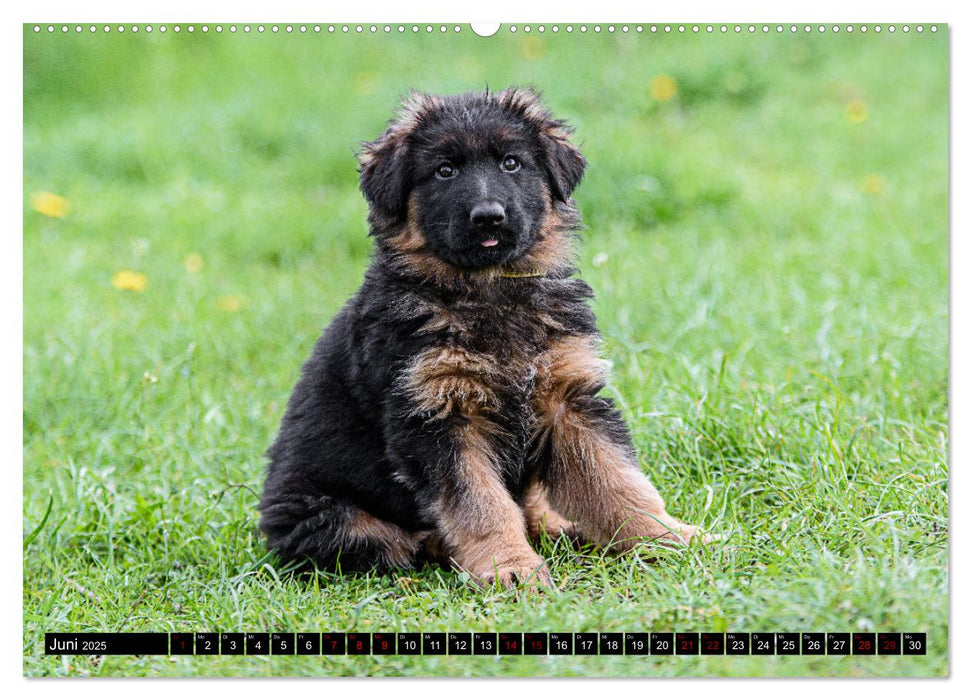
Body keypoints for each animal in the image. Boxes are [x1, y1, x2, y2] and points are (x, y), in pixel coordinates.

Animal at [258, 90, 704, 588]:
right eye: (444, 171)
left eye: (511, 163)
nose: (489, 217)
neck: (487, 290)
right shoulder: (439, 415)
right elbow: (480, 503)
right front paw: (511, 567)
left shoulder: (567, 399)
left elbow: (616, 480)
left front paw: (665, 537)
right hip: (323, 515)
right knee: (390, 542)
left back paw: (563, 528)